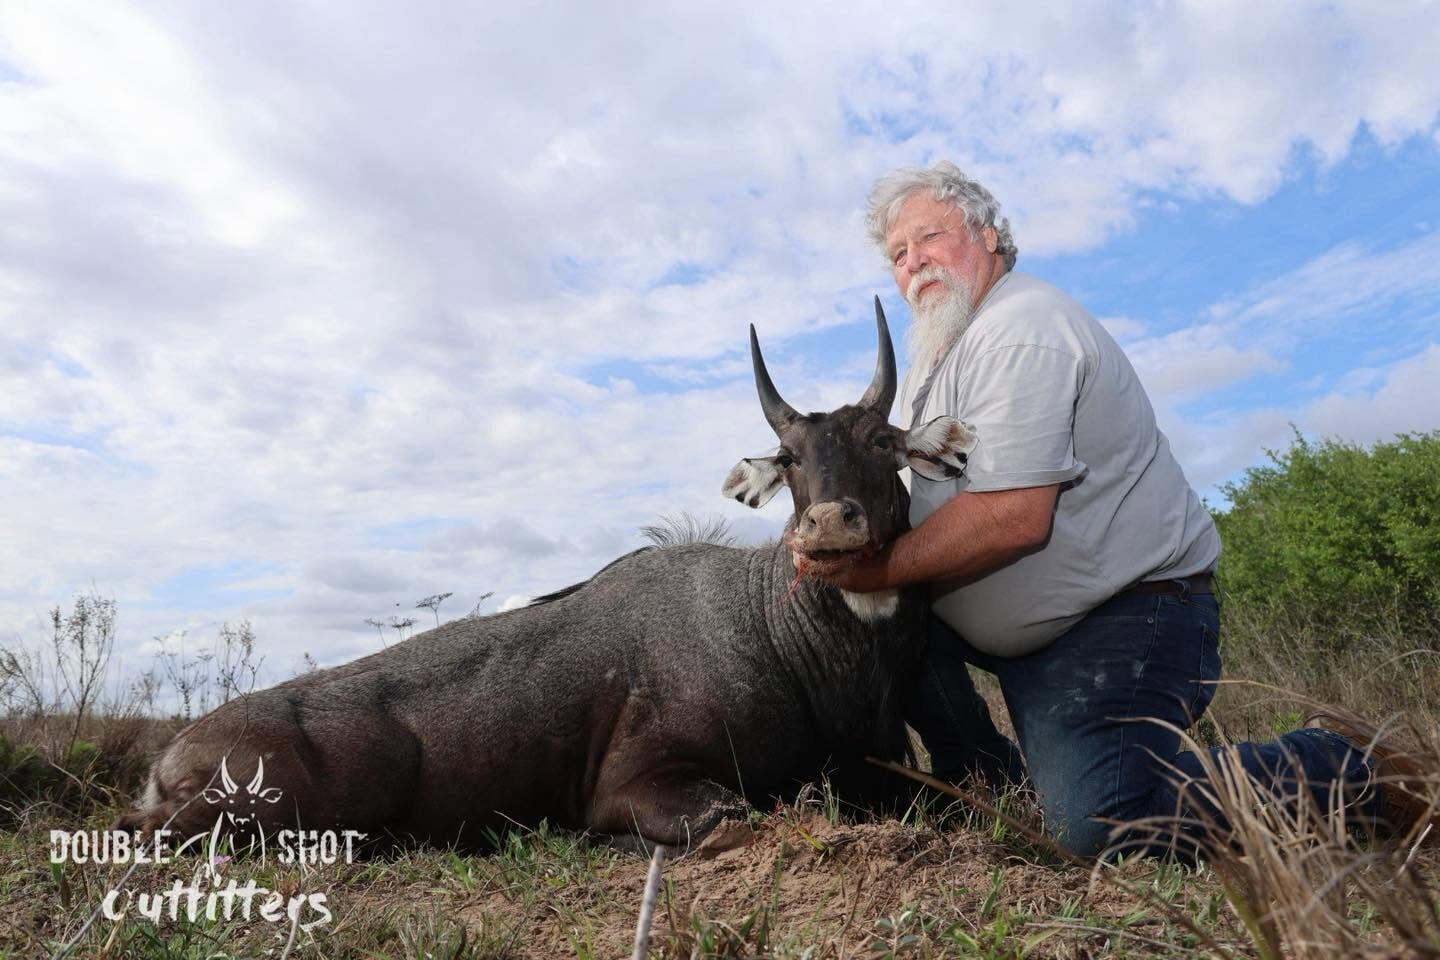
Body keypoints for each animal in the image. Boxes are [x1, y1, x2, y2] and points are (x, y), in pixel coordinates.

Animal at [117, 299, 978, 853]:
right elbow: (733, 822)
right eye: (791, 457)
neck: (779, 633)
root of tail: (170, 757)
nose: (829, 527)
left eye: (882, 440)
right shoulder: (633, 786)